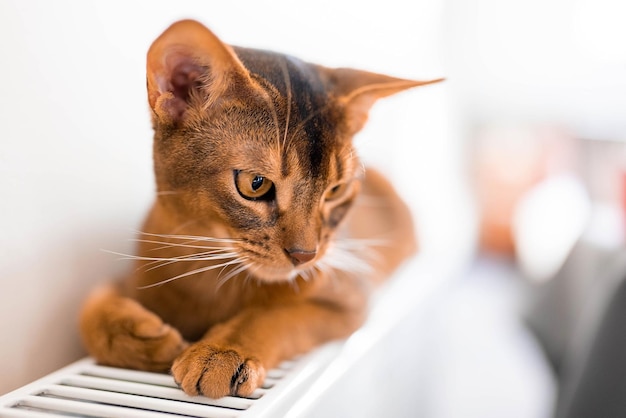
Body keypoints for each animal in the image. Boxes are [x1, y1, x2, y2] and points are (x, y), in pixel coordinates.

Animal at [78, 18, 442, 398]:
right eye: (255, 184)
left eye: (336, 191)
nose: (305, 255)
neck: (207, 275)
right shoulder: (130, 280)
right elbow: (89, 312)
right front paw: (149, 341)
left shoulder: (350, 301)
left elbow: (275, 315)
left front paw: (221, 353)